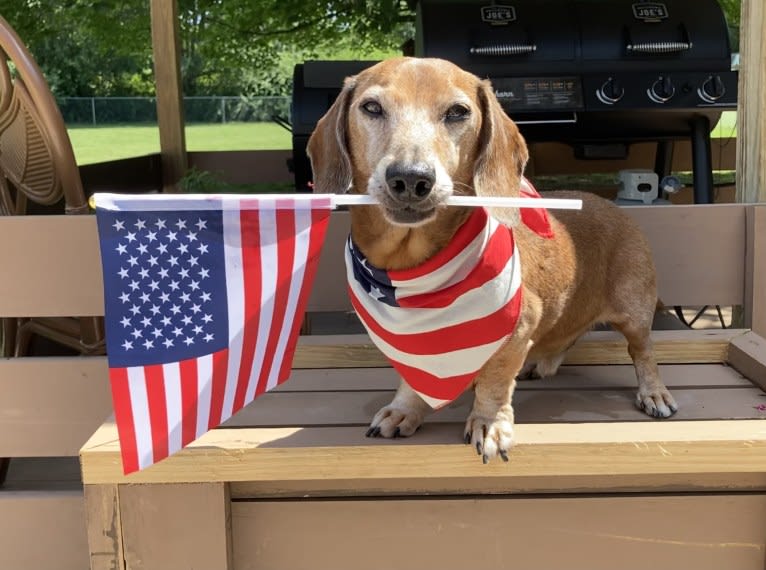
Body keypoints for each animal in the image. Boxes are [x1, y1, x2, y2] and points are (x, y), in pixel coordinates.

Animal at [306, 55, 680, 460]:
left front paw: (489, 425)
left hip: (634, 313)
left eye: (458, 112)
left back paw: (654, 392)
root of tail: (615, 207)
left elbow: (495, 382)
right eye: (372, 107)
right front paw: (405, 409)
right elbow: (413, 379)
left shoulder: (518, 328)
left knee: (642, 352)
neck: (412, 270)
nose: (410, 178)